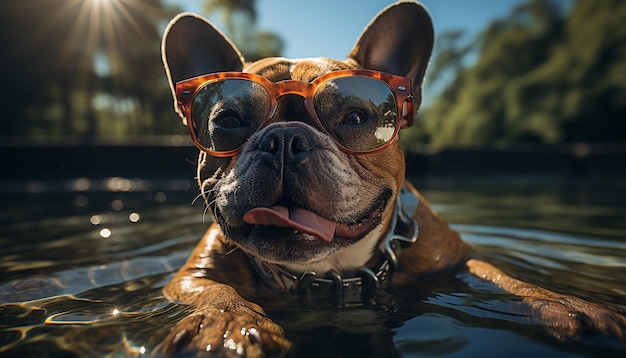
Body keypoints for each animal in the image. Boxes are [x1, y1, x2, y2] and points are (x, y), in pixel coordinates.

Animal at [160, 2, 624, 356]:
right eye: (228, 121)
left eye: (355, 118)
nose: (285, 139)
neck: (331, 270)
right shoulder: (190, 278)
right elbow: (216, 294)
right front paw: (228, 328)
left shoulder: (458, 260)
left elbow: (506, 280)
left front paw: (571, 306)